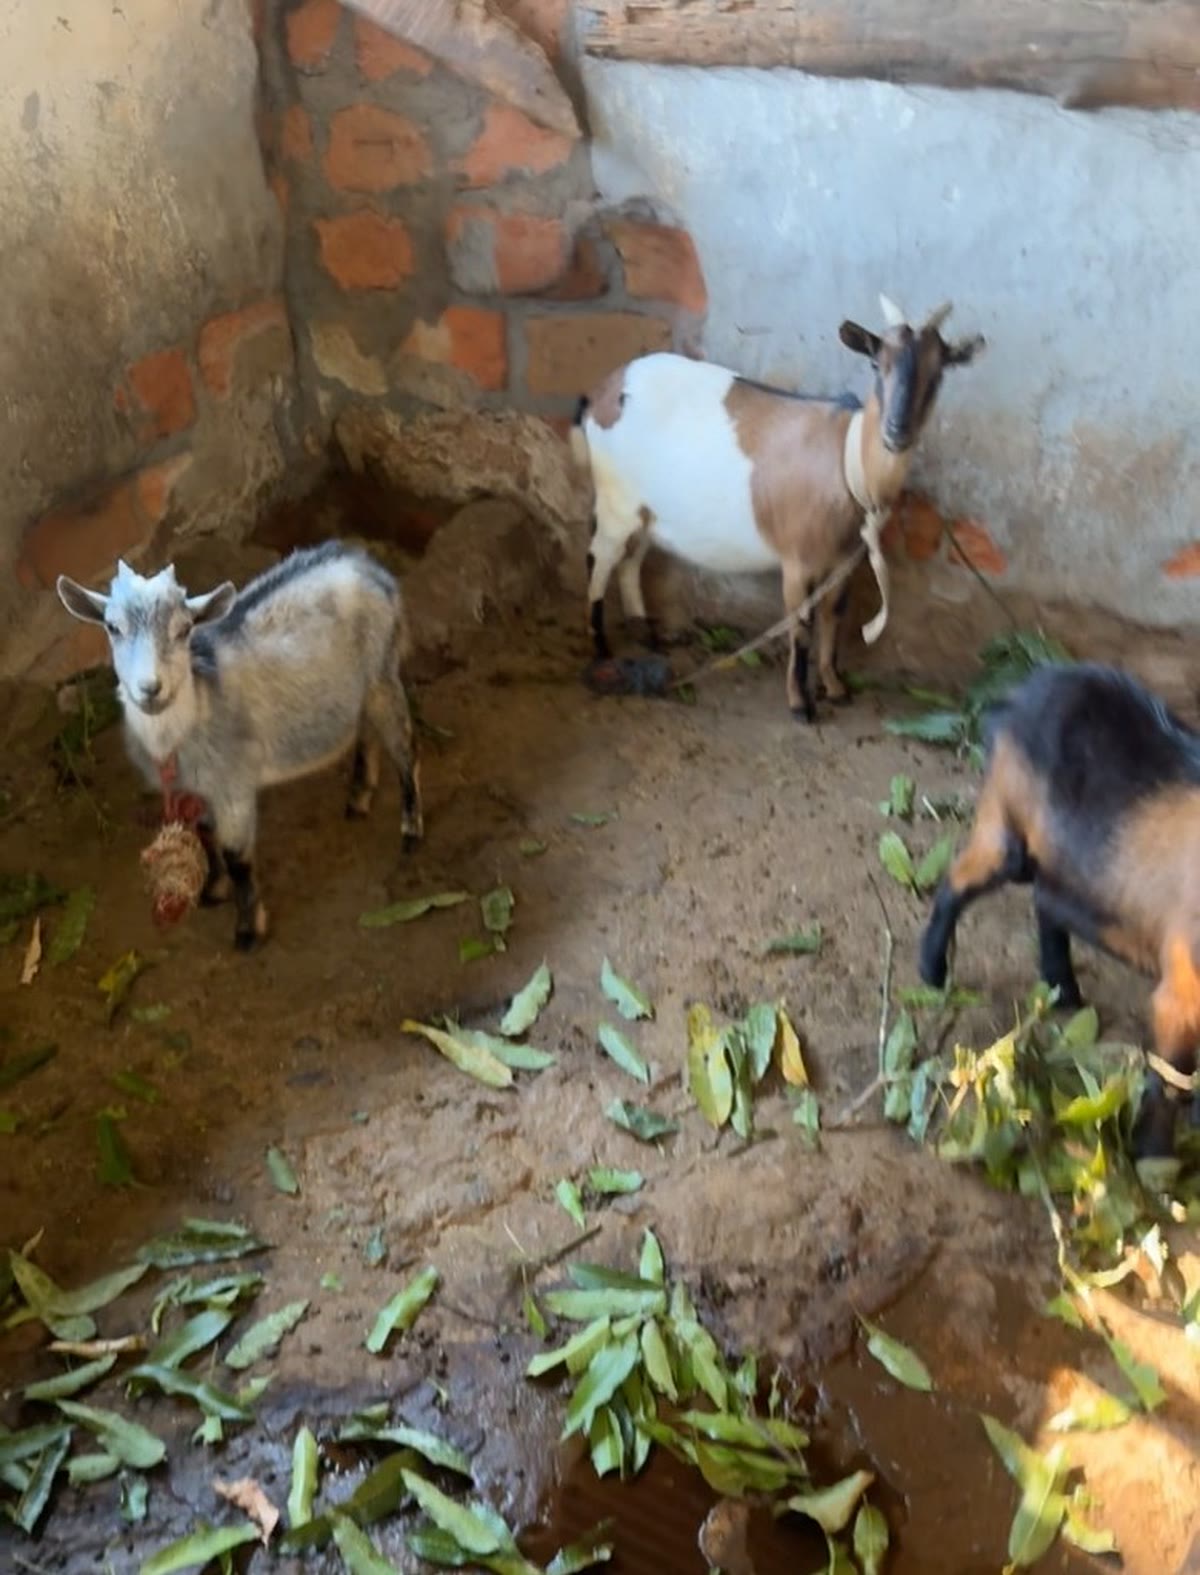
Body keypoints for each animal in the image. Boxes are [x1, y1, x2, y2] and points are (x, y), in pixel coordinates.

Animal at [57, 542, 423, 951]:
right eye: (112, 627)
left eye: (185, 629)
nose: (150, 689)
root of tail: (366, 564)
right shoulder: (195, 788)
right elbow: (204, 835)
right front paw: (213, 891)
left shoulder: (233, 784)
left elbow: (236, 857)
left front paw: (249, 930)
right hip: (358, 689)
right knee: (365, 732)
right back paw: (359, 797)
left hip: (382, 672)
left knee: (405, 749)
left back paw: (411, 830)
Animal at [571, 296, 985, 719]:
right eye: (875, 363)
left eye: (940, 371)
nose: (897, 431)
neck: (847, 461)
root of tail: (598, 394)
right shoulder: (798, 560)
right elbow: (801, 626)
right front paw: (800, 704)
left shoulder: (844, 562)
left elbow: (834, 617)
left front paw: (835, 687)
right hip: (615, 499)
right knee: (600, 557)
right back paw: (600, 645)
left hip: (645, 509)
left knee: (631, 557)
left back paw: (644, 630)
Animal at [919, 661, 1200, 1163]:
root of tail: (1022, 693)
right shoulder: (1181, 995)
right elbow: (1172, 1077)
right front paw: (1152, 1157)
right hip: (1005, 830)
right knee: (958, 881)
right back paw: (932, 971)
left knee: (1047, 900)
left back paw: (1063, 988)